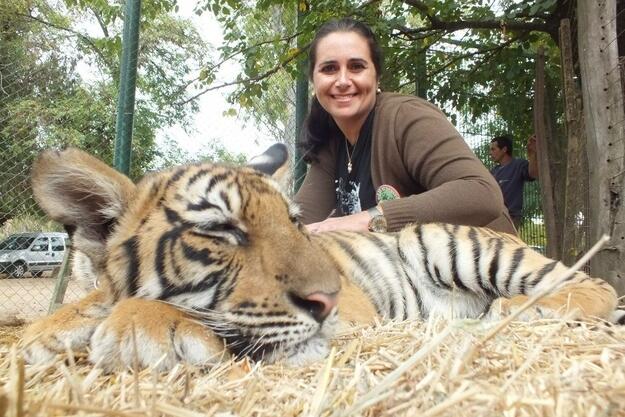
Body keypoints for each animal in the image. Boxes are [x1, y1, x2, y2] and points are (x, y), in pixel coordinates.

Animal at [22, 144, 620, 370]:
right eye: (220, 230)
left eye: (293, 222)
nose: (327, 301)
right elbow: (78, 307)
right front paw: (41, 337)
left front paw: (142, 325)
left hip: (449, 244)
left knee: (594, 287)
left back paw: (517, 311)